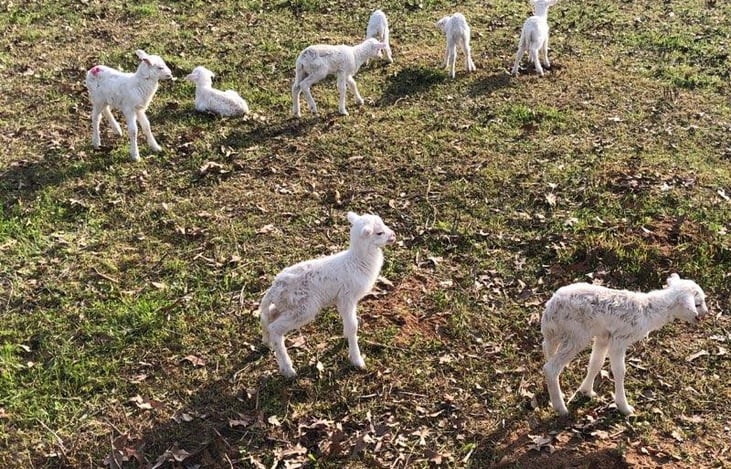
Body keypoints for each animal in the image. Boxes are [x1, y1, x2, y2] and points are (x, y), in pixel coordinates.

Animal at [259, 211, 396, 378]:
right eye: (379, 233)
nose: (393, 235)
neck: (357, 261)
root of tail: (274, 287)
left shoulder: (341, 300)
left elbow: (348, 324)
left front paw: (346, 337)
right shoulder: (347, 297)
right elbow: (353, 325)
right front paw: (357, 360)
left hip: (288, 305)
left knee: (267, 315)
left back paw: (266, 341)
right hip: (304, 308)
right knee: (275, 328)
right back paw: (288, 369)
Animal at [541, 274, 708, 416]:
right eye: (698, 304)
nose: (705, 314)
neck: (648, 310)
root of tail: (551, 307)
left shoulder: (603, 336)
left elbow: (595, 363)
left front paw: (586, 391)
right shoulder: (619, 340)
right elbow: (619, 371)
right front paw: (624, 407)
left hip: (556, 333)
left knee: (547, 350)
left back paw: (556, 392)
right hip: (576, 335)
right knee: (551, 368)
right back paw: (561, 408)